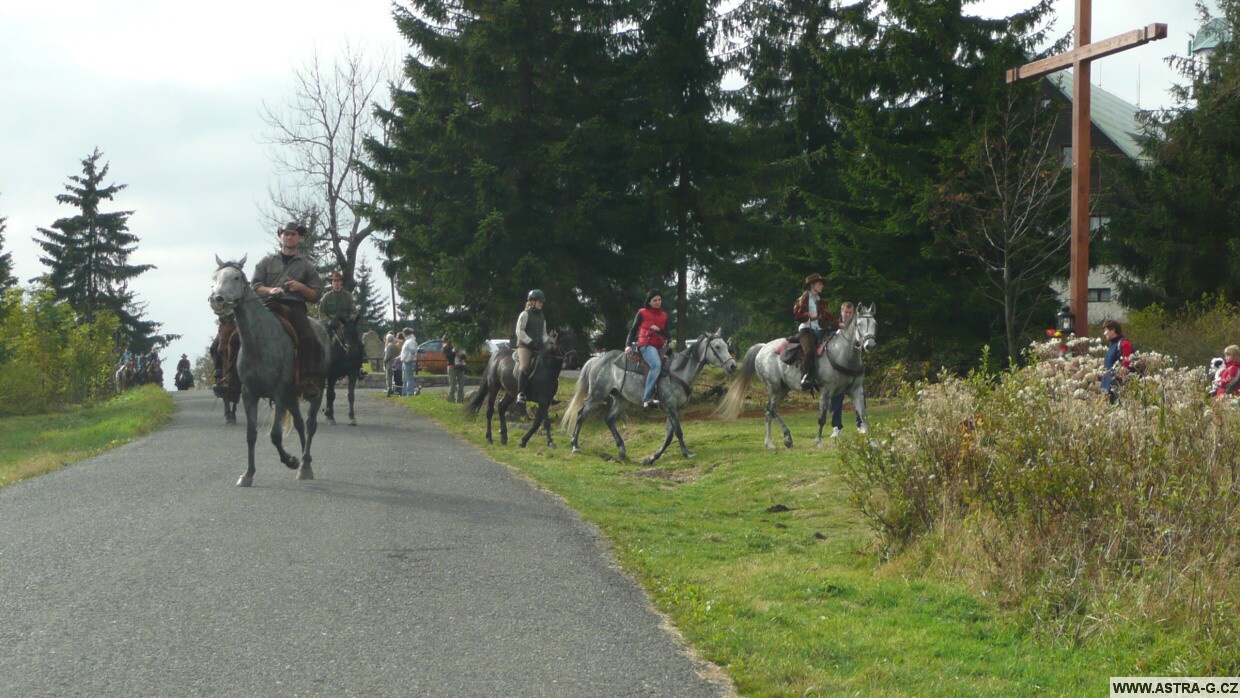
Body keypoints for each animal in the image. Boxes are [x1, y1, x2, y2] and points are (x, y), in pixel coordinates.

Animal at [208, 255, 327, 485]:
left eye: (236, 277)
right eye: (215, 278)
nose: (216, 299)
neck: (260, 343)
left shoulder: (279, 393)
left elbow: (275, 435)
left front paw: (291, 461)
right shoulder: (249, 394)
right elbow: (251, 434)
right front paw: (248, 474)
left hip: (316, 391)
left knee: (310, 425)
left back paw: (304, 465)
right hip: (292, 396)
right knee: (300, 424)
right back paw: (303, 463)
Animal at [562, 332, 734, 466]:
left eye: (726, 345)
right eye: (717, 347)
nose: (733, 365)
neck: (677, 371)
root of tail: (596, 360)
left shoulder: (673, 409)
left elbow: (670, 435)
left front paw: (651, 458)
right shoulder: (670, 406)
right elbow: (678, 431)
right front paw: (686, 452)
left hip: (621, 399)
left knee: (609, 419)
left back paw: (622, 450)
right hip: (597, 395)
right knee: (581, 414)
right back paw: (575, 445)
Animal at [714, 304, 877, 448]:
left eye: (874, 323)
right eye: (859, 324)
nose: (870, 345)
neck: (841, 354)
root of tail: (763, 347)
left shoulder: (856, 390)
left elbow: (864, 416)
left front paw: (872, 442)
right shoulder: (826, 391)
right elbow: (822, 418)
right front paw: (818, 441)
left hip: (783, 389)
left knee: (768, 413)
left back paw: (769, 443)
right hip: (774, 387)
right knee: (772, 409)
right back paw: (787, 438)